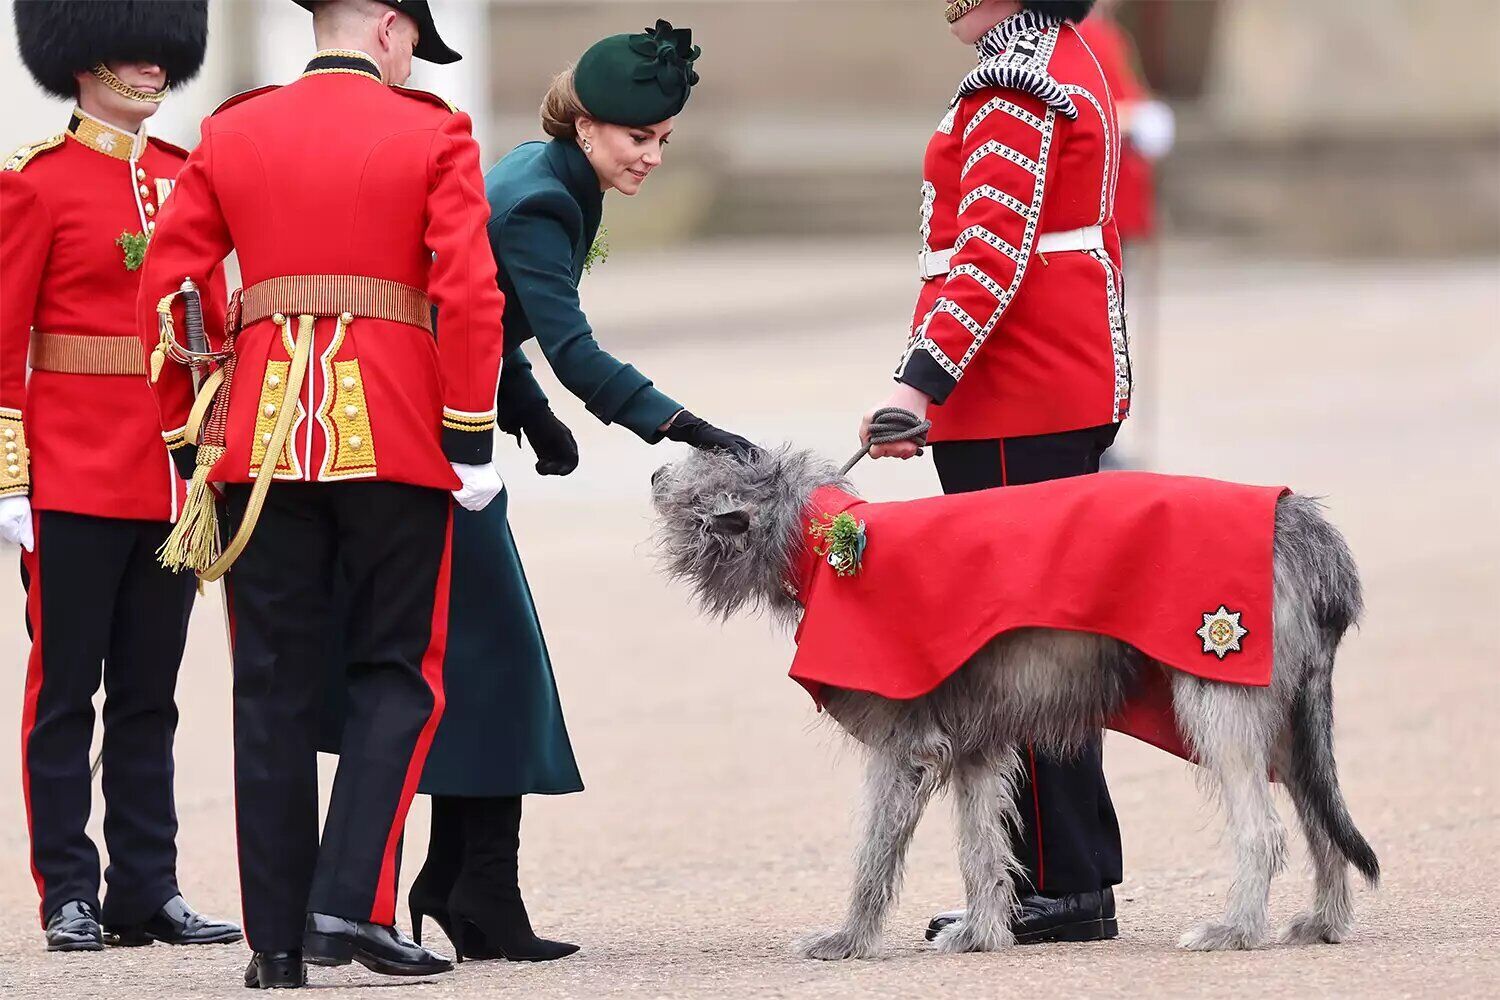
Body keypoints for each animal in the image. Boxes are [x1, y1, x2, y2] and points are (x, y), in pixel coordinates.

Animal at [651, 446, 1374, 959]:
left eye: (699, 477)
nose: (655, 470)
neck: (826, 540)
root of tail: (1300, 521)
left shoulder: (905, 745)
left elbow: (875, 851)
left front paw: (848, 940)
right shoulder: (975, 744)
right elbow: (979, 844)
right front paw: (980, 932)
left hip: (1221, 689)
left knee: (1264, 828)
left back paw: (1237, 929)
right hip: (1290, 713)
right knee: (1317, 814)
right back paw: (1324, 922)